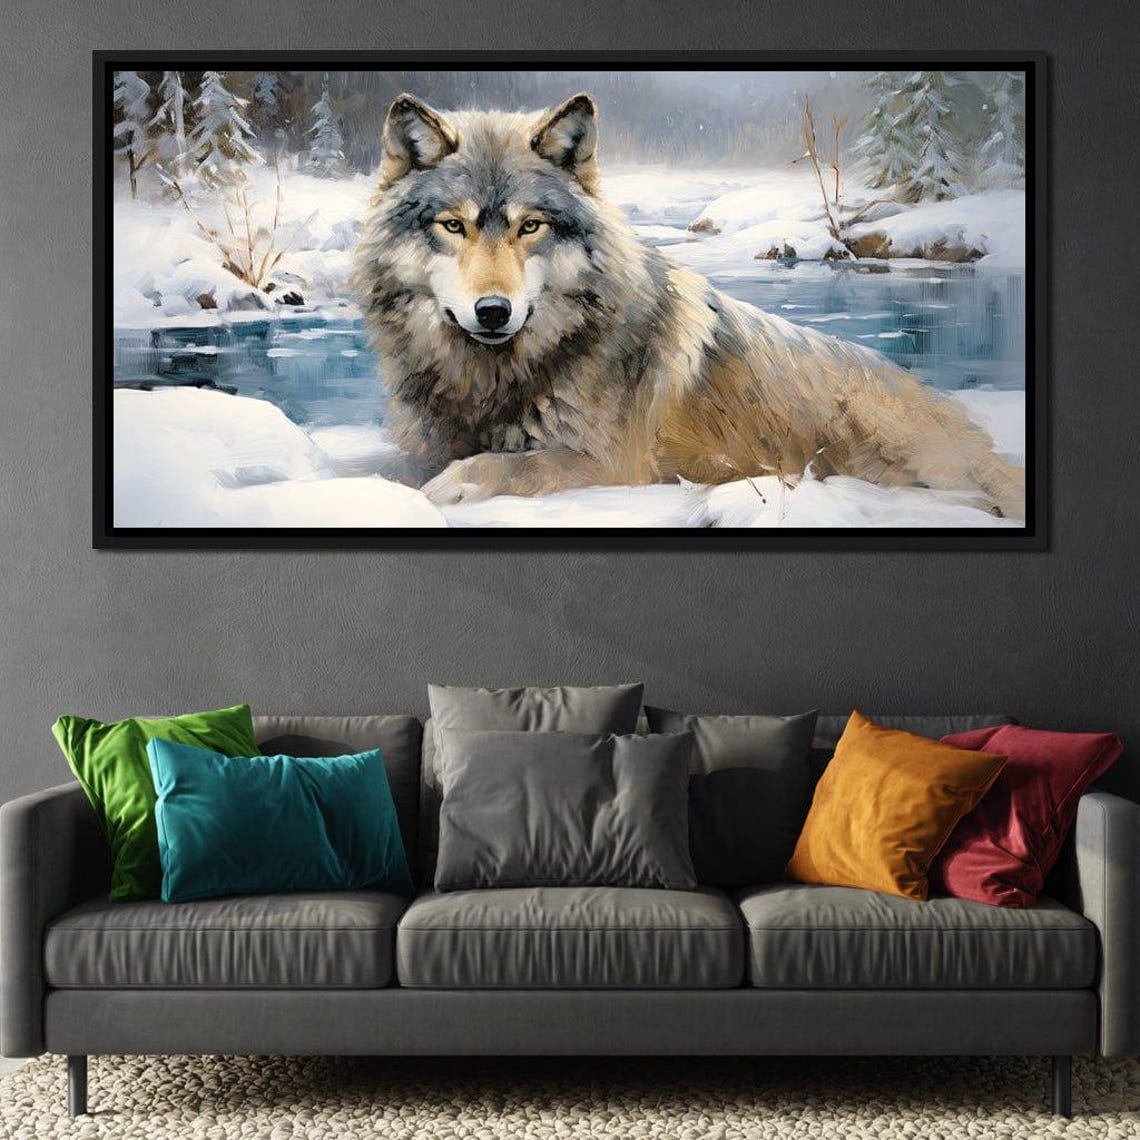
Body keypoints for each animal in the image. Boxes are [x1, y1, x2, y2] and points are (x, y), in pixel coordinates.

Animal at [351, 92, 1025, 520]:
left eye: (530, 226)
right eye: (453, 225)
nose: (494, 311)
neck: (493, 378)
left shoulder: (615, 465)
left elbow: (500, 468)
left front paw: (443, 491)